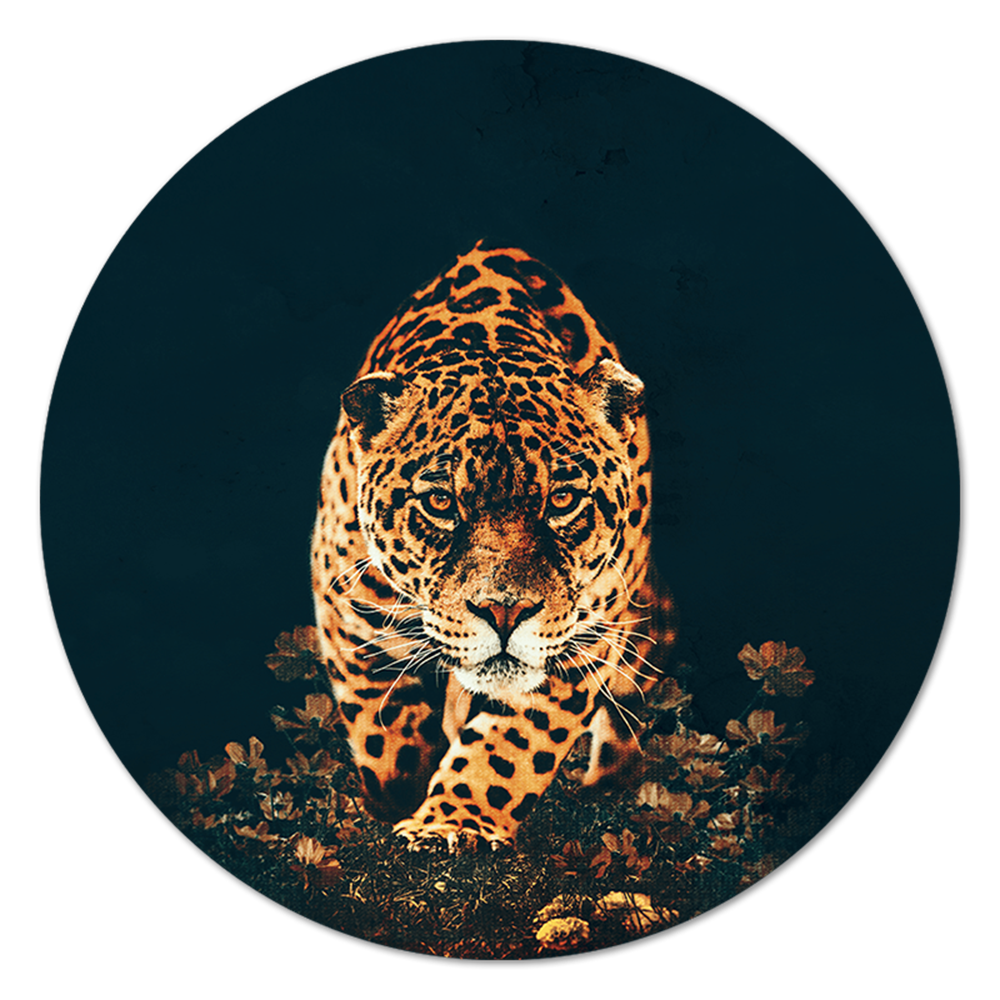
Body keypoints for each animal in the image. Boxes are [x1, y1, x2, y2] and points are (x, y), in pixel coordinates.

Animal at [311, 241, 676, 851]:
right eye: (440, 502)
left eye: (561, 500)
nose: (504, 612)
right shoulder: (349, 610)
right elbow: (383, 725)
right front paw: (401, 794)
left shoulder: (581, 638)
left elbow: (512, 746)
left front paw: (453, 821)